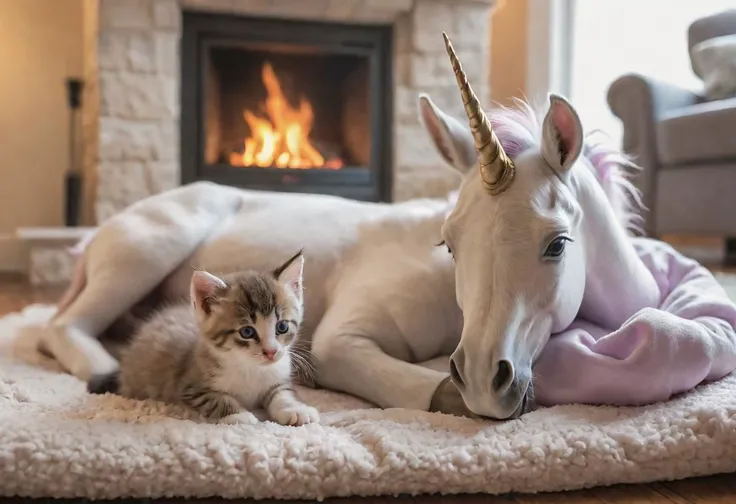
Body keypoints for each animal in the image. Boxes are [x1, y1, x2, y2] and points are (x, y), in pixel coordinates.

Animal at [87, 250, 318, 428]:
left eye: (282, 326)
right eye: (247, 332)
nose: (271, 351)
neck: (249, 368)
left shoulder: (278, 377)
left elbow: (282, 393)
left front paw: (295, 409)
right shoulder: (191, 387)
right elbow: (218, 399)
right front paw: (239, 414)